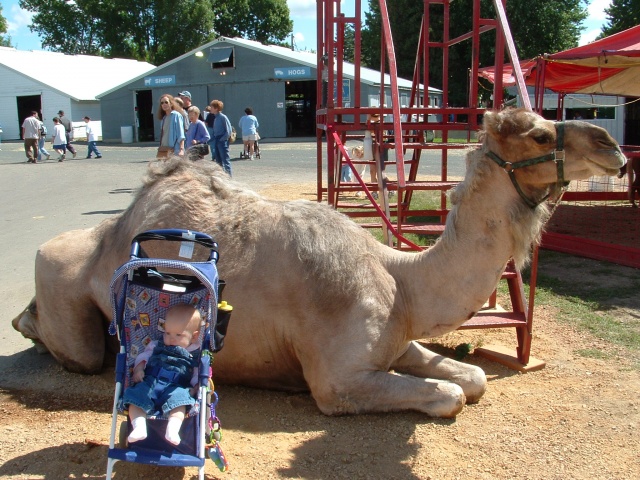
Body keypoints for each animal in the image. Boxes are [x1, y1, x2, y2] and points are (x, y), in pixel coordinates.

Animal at [12, 108, 624, 416]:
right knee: (76, 347)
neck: (401, 281)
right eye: (540, 133)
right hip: (65, 292)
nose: (613, 145)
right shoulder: (338, 379)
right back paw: (29, 324)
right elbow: (450, 396)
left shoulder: (396, 341)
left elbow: (471, 377)